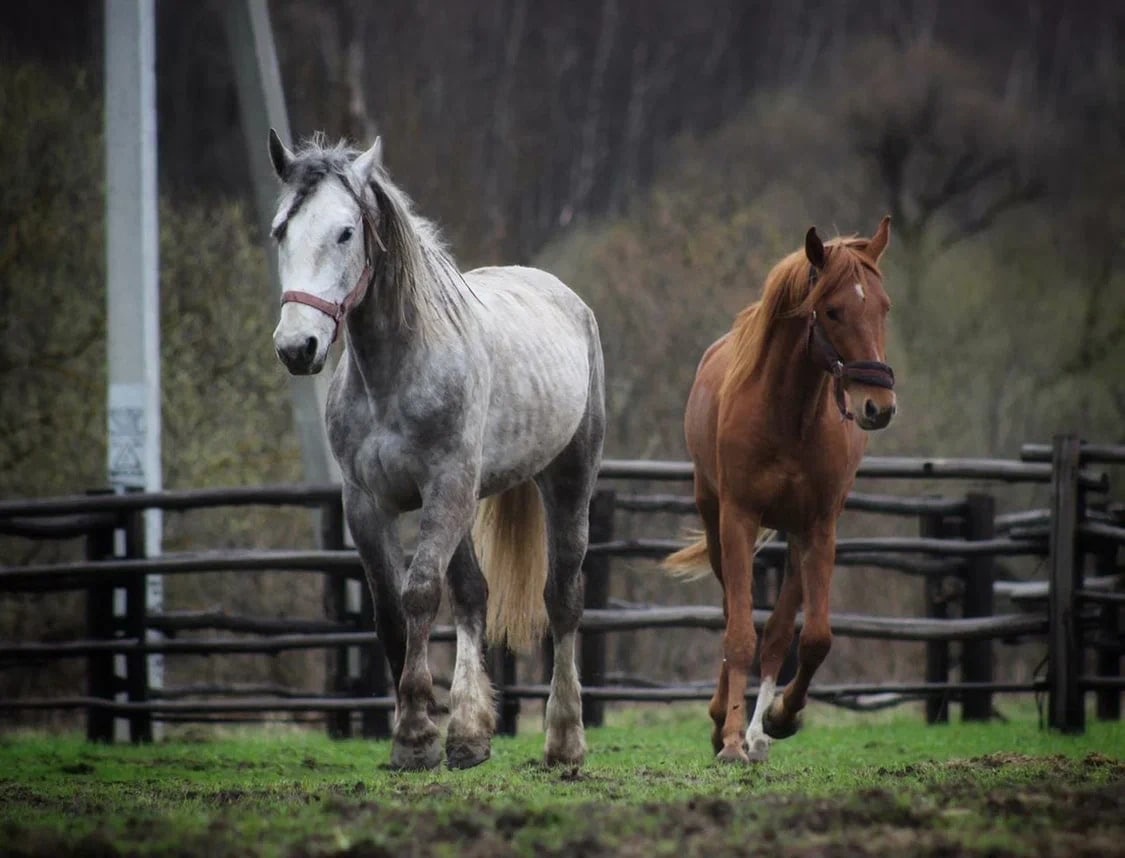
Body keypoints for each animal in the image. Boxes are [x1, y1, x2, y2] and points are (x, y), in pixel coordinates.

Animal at [267, 132, 607, 773]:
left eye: (345, 232)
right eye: (280, 231)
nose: (298, 346)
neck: (395, 372)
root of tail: (566, 297)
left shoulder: (444, 488)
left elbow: (421, 594)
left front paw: (416, 736)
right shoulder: (366, 504)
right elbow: (392, 613)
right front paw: (422, 731)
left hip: (567, 480)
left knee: (562, 600)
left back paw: (564, 740)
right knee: (474, 596)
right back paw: (471, 735)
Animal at [666, 218, 895, 760]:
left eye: (883, 307)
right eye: (832, 310)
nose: (878, 405)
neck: (789, 414)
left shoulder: (820, 527)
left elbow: (812, 639)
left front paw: (780, 717)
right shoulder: (738, 520)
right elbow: (738, 634)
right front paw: (728, 737)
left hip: (795, 536)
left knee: (778, 631)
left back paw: (757, 730)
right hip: (715, 521)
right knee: (733, 614)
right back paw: (723, 723)